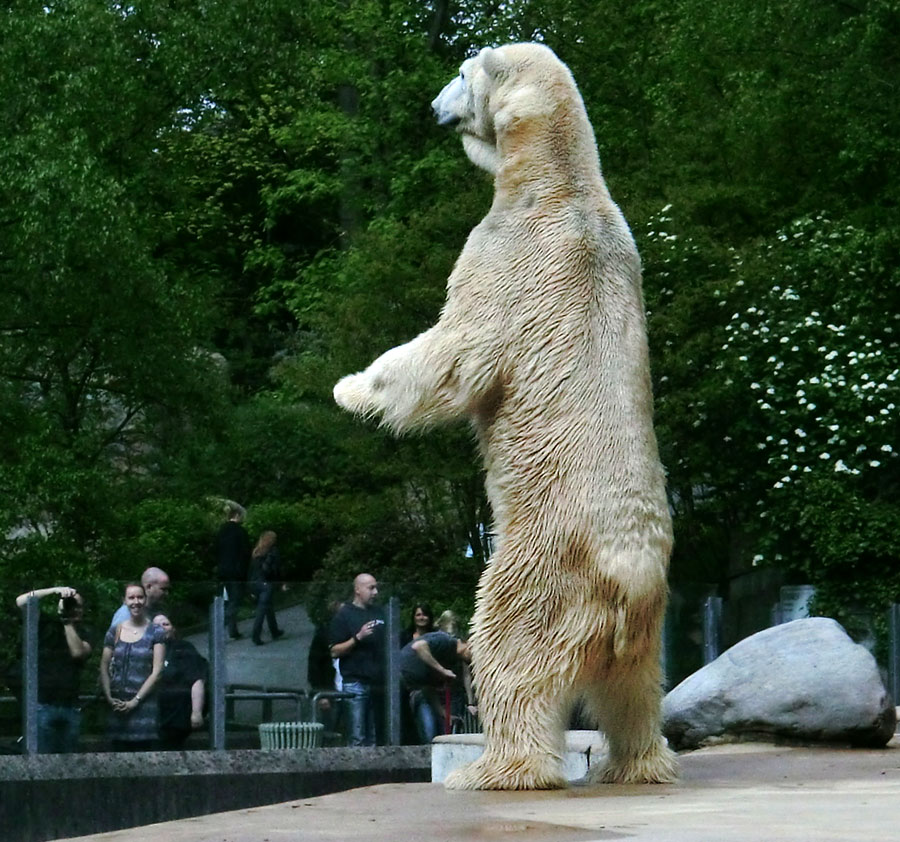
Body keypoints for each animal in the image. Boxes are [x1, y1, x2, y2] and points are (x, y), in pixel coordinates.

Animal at [334, 42, 680, 788]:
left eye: (460, 75)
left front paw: (351, 388)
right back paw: (636, 764)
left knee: (506, 651)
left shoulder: (506, 255)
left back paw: (493, 766)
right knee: (636, 690)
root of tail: (628, 576)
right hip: (647, 622)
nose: (433, 106)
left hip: (539, 572)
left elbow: (454, 352)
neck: (561, 181)